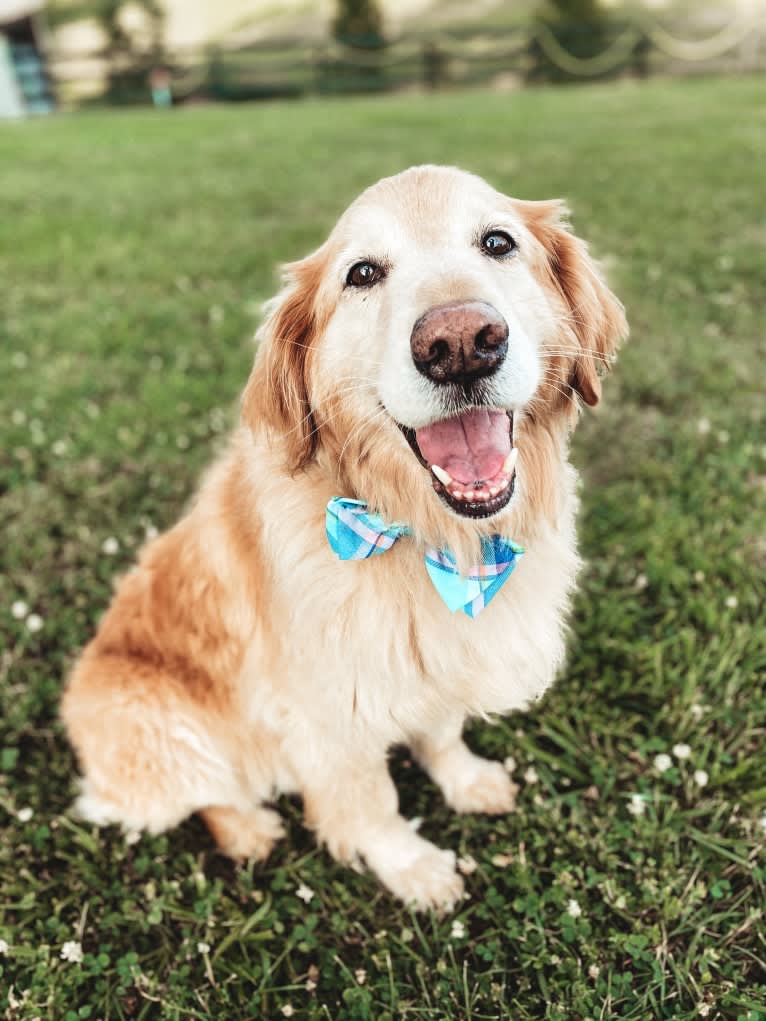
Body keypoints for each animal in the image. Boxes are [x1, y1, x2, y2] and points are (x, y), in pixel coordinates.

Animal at [63, 167, 625, 910]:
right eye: (361, 273)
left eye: (498, 242)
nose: (459, 343)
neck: (433, 536)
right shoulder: (329, 714)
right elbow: (372, 803)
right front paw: (412, 866)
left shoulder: (435, 661)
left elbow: (441, 732)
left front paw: (466, 779)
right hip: (158, 723)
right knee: (206, 793)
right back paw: (248, 829)